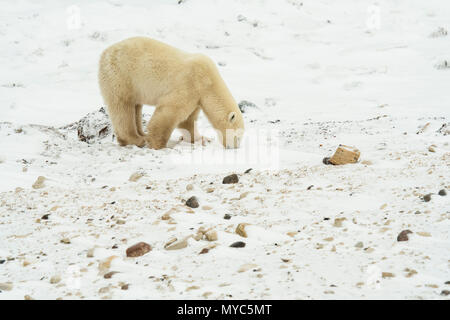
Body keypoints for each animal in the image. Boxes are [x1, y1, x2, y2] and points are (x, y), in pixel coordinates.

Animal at [97, 37, 244, 149]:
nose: (234, 148)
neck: (208, 81)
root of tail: (105, 53)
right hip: (121, 76)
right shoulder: (189, 83)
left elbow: (187, 121)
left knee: (136, 107)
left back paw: (142, 135)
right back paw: (136, 139)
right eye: (238, 137)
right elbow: (169, 112)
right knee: (122, 107)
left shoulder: (197, 97)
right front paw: (158, 145)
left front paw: (201, 139)